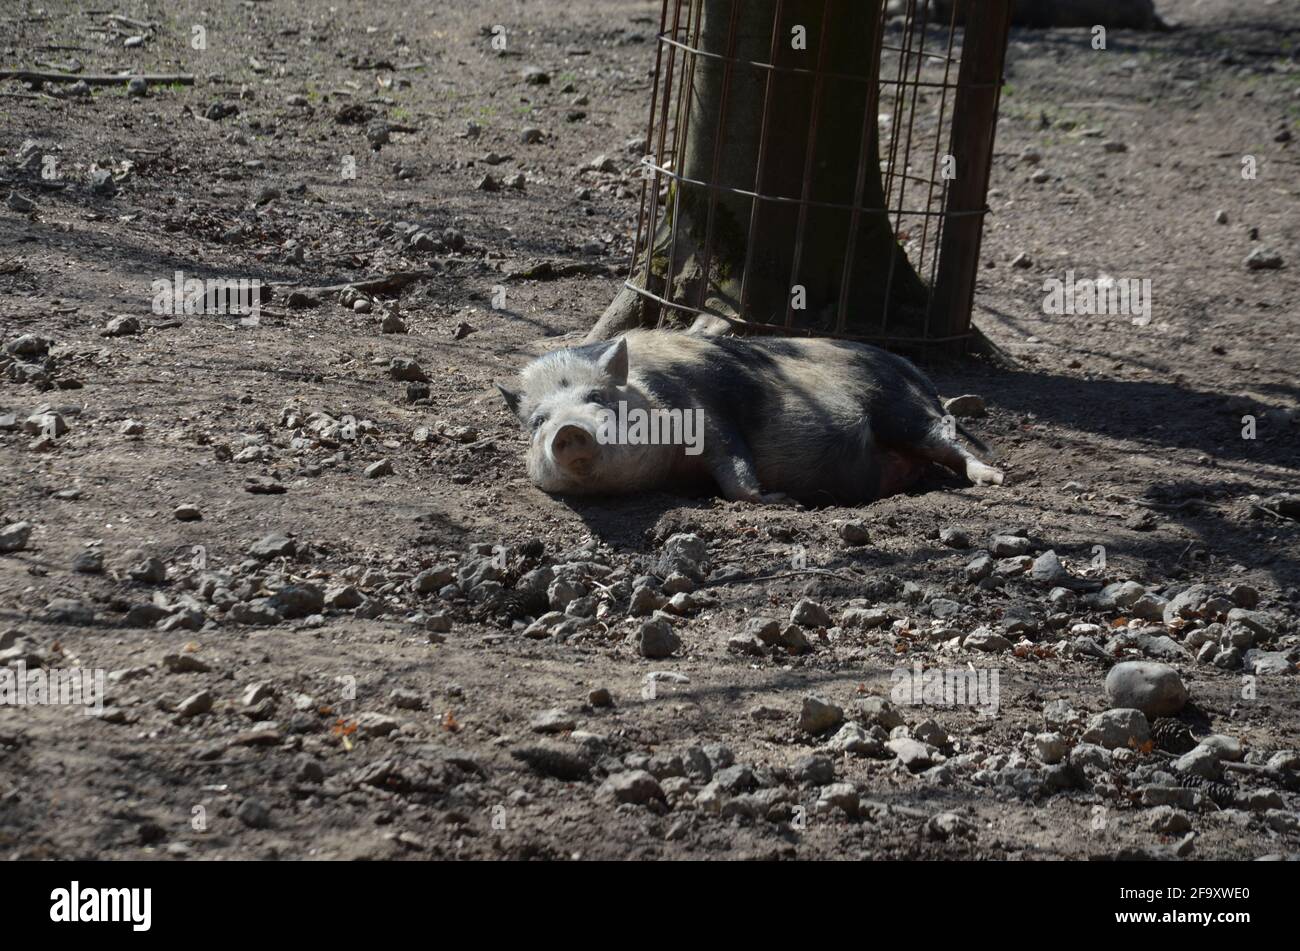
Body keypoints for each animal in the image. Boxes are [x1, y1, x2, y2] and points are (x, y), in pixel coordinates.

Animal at [496, 329, 1003, 504]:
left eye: (598, 397)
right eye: (538, 421)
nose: (568, 430)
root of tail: (908, 367)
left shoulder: (704, 407)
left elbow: (732, 461)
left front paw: (783, 501)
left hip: (903, 410)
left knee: (950, 445)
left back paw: (993, 479)